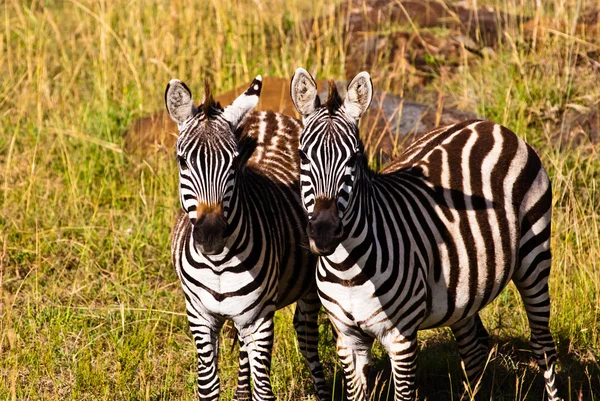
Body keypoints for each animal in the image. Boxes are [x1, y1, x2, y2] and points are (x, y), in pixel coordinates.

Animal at [166, 76, 330, 400]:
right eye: (182, 161)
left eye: (234, 162)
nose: (211, 235)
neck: (218, 264)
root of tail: (271, 114)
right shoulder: (200, 316)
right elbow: (208, 386)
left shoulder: (260, 319)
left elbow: (264, 391)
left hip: (305, 290)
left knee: (306, 337)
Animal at [290, 69, 564, 400]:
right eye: (303, 156)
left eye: (354, 158)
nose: (325, 233)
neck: (347, 270)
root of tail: (489, 125)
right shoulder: (347, 338)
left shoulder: (402, 339)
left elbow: (403, 393)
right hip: (465, 286)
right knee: (474, 346)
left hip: (534, 256)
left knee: (543, 345)